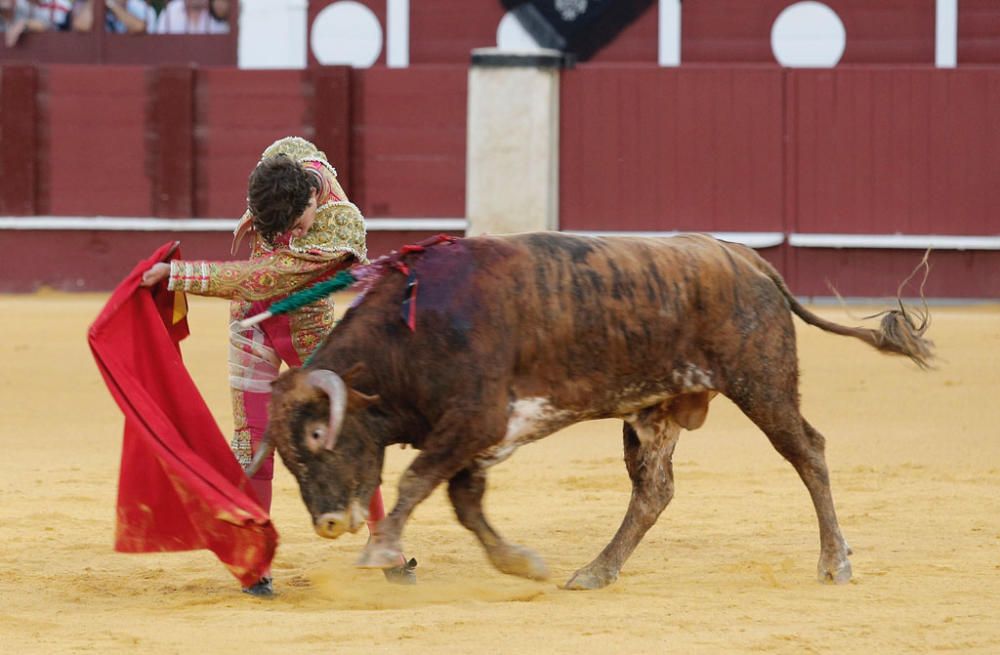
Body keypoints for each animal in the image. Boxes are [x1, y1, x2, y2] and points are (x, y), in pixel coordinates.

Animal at [248, 232, 928, 588]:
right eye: (288, 458)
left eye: (319, 433)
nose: (328, 523)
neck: (413, 326)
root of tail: (744, 255)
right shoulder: (479, 437)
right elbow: (465, 503)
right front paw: (517, 561)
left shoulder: (474, 420)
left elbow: (419, 481)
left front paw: (382, 550)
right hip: (656, 408)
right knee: (654, 491)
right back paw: (597, 570)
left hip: (762, 382)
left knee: (807, 451)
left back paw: (835, 561)